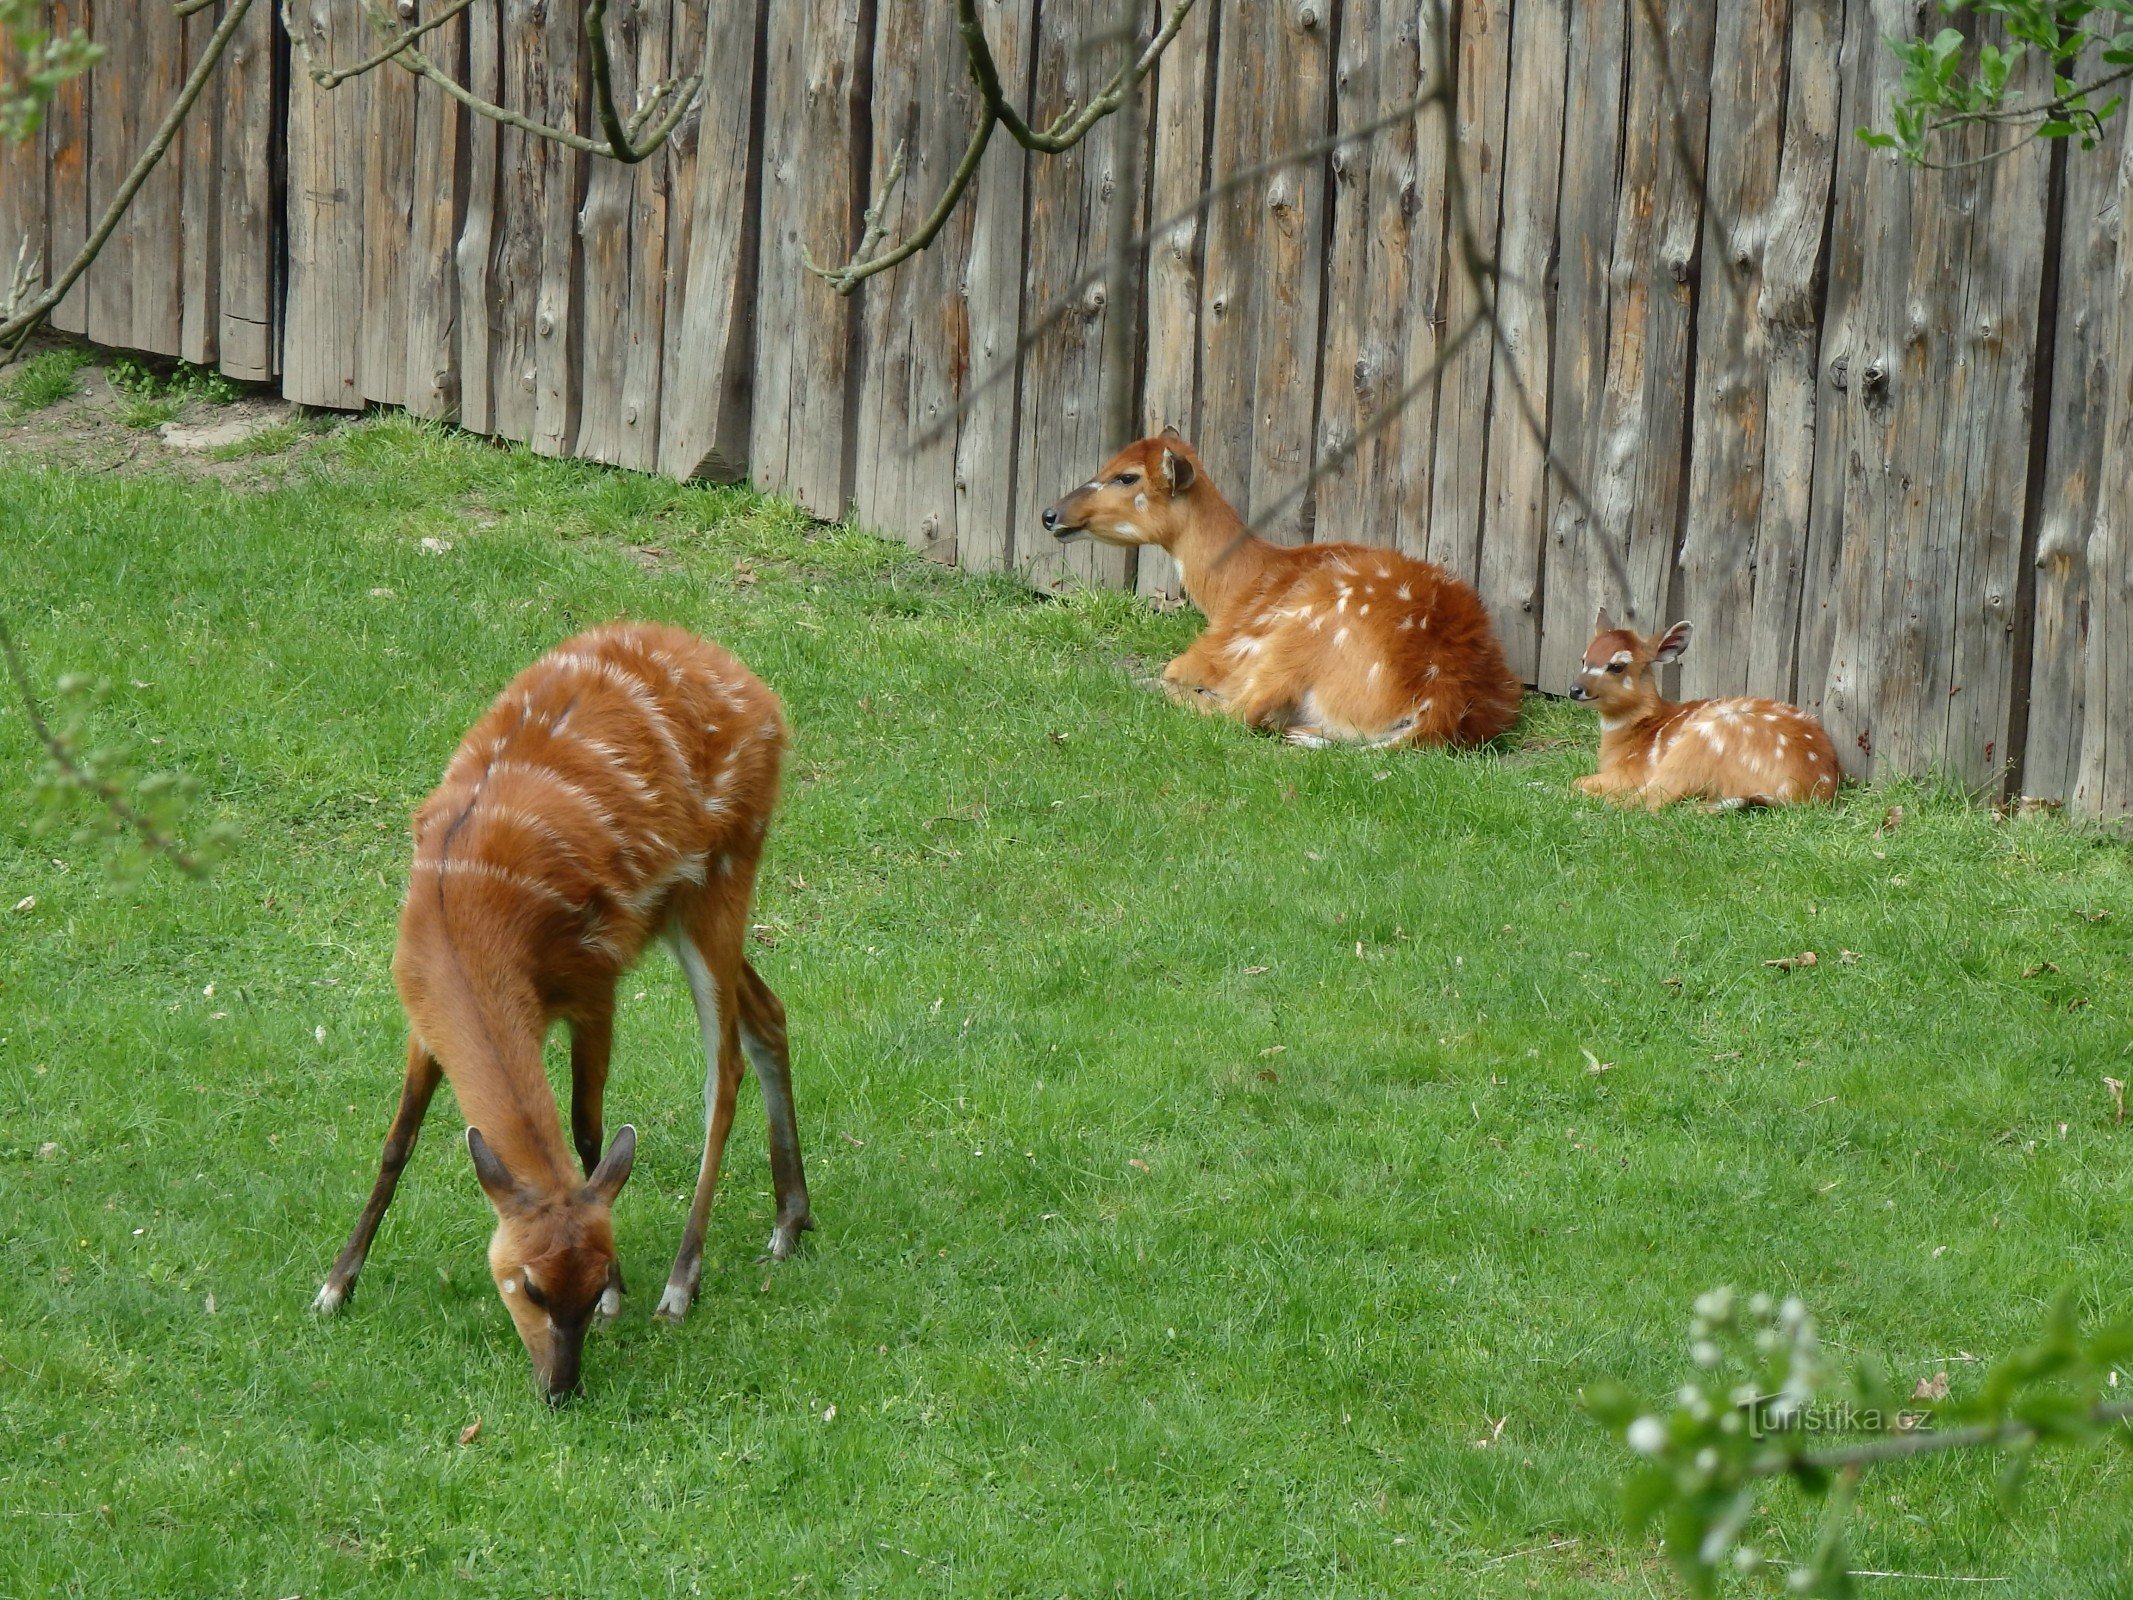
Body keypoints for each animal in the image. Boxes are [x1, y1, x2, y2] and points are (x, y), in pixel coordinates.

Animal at [311, 618, 810, 1399]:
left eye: (590, 1278)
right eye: (529, 1286)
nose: (561, 1388)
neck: (467, 925)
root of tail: (765, 701)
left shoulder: (593, 978)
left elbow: (587, 1132)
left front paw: (622, 1300)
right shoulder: (423, 1016)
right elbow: (398, 1141)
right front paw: (335, 1286)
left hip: (726, 867)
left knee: (723, 1068)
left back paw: (680, 1285)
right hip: (678, 907)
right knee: (769, 1012)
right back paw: (790, 1220)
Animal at [1040, 428, 1527, 750]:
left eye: (1126, 477)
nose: (1050, 514)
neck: (1237, 584)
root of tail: (1438, 701)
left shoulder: (1215, 651)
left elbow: (1180, 671)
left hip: (1300, 632)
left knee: (1243, 712)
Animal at [1569, 614, 1851, 814]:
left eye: (1617, 666)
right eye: (1583, 659)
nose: (1575, 689)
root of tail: (1800, 792)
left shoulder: (1635, 770)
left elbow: (1578, 781)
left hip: (1698, 745)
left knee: (1650, 801)